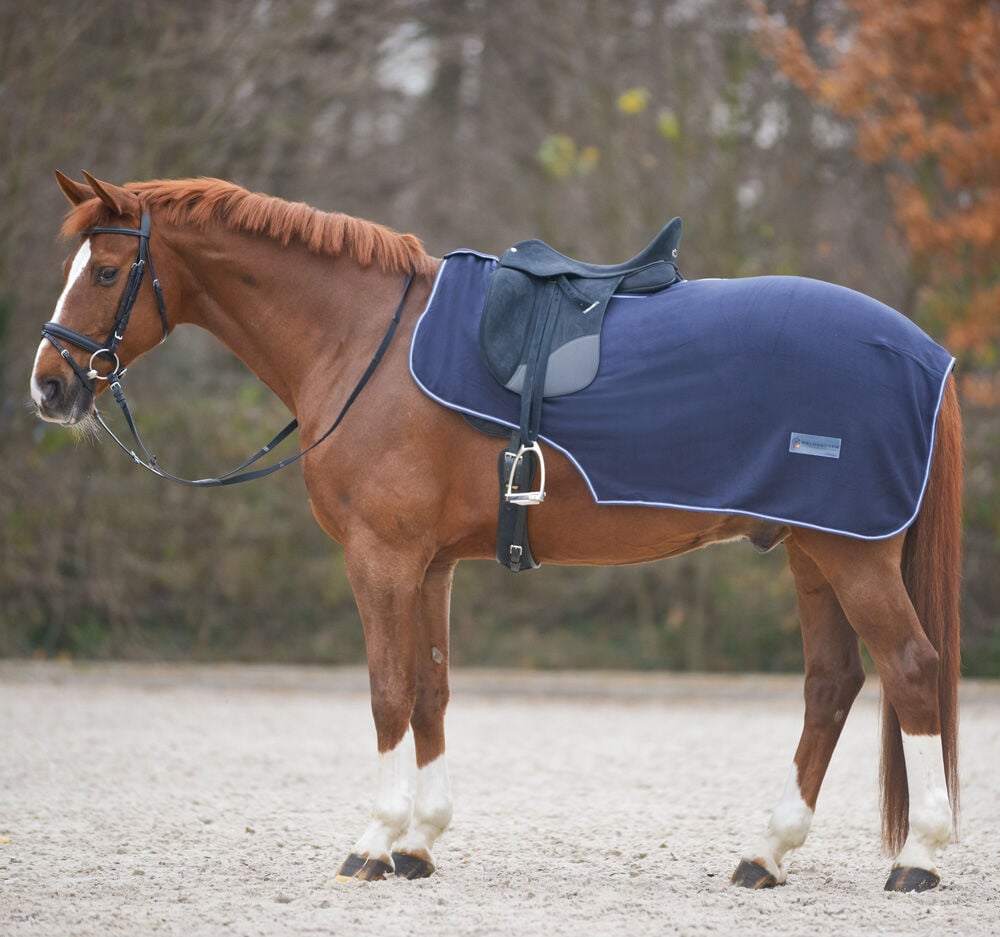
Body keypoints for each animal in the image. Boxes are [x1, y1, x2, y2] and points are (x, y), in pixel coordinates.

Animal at [30, 172, 962, 893]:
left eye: (107, 269)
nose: (48, 386)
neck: (362, 339)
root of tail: (925, 353)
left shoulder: (381, 557)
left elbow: (386, 691)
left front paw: (373, 842)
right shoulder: (430, 564)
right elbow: (430, 691)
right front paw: (418, 842)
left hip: (852, 554)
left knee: (912, 669)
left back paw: (918, 856)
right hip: (811, 550)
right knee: (831, 685)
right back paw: (766, 853)